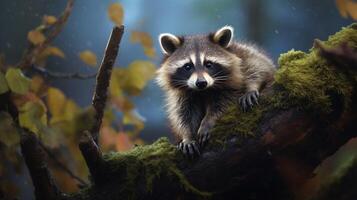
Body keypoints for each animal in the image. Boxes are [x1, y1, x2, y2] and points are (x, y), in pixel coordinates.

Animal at [156, 25, 276, 156]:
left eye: (208, 64)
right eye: (188, 66)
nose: (201, 82)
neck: (203, 91)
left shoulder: (238, 59)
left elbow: (224, 104)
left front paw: (209, 121)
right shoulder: (182, 95)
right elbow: (183, 114)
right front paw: (187, 136)